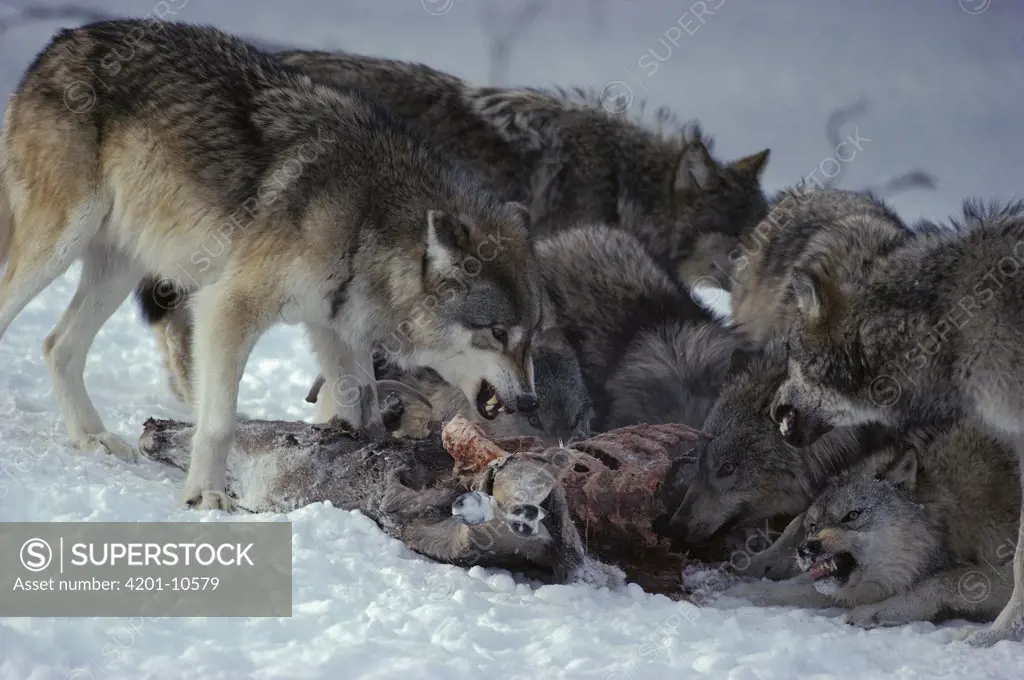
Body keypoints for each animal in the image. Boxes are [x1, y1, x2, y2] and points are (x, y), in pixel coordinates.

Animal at [0, 18, 544, 510]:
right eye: (498, 333)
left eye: (531, 336)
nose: (532, 403)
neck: (368, 221)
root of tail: (62, 40)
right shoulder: (225, 309)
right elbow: (219, 423)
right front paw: (206, 495)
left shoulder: (336, 333)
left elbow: (360, 415)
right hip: (58, 244)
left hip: (120, 265)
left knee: (56, 345)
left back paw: (92, 437)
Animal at [724, 421, 1019, 630]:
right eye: (813, 525)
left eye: (851, 515)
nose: (807, 548)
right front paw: (746, 592)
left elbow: (947, 579)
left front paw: (878, 612)